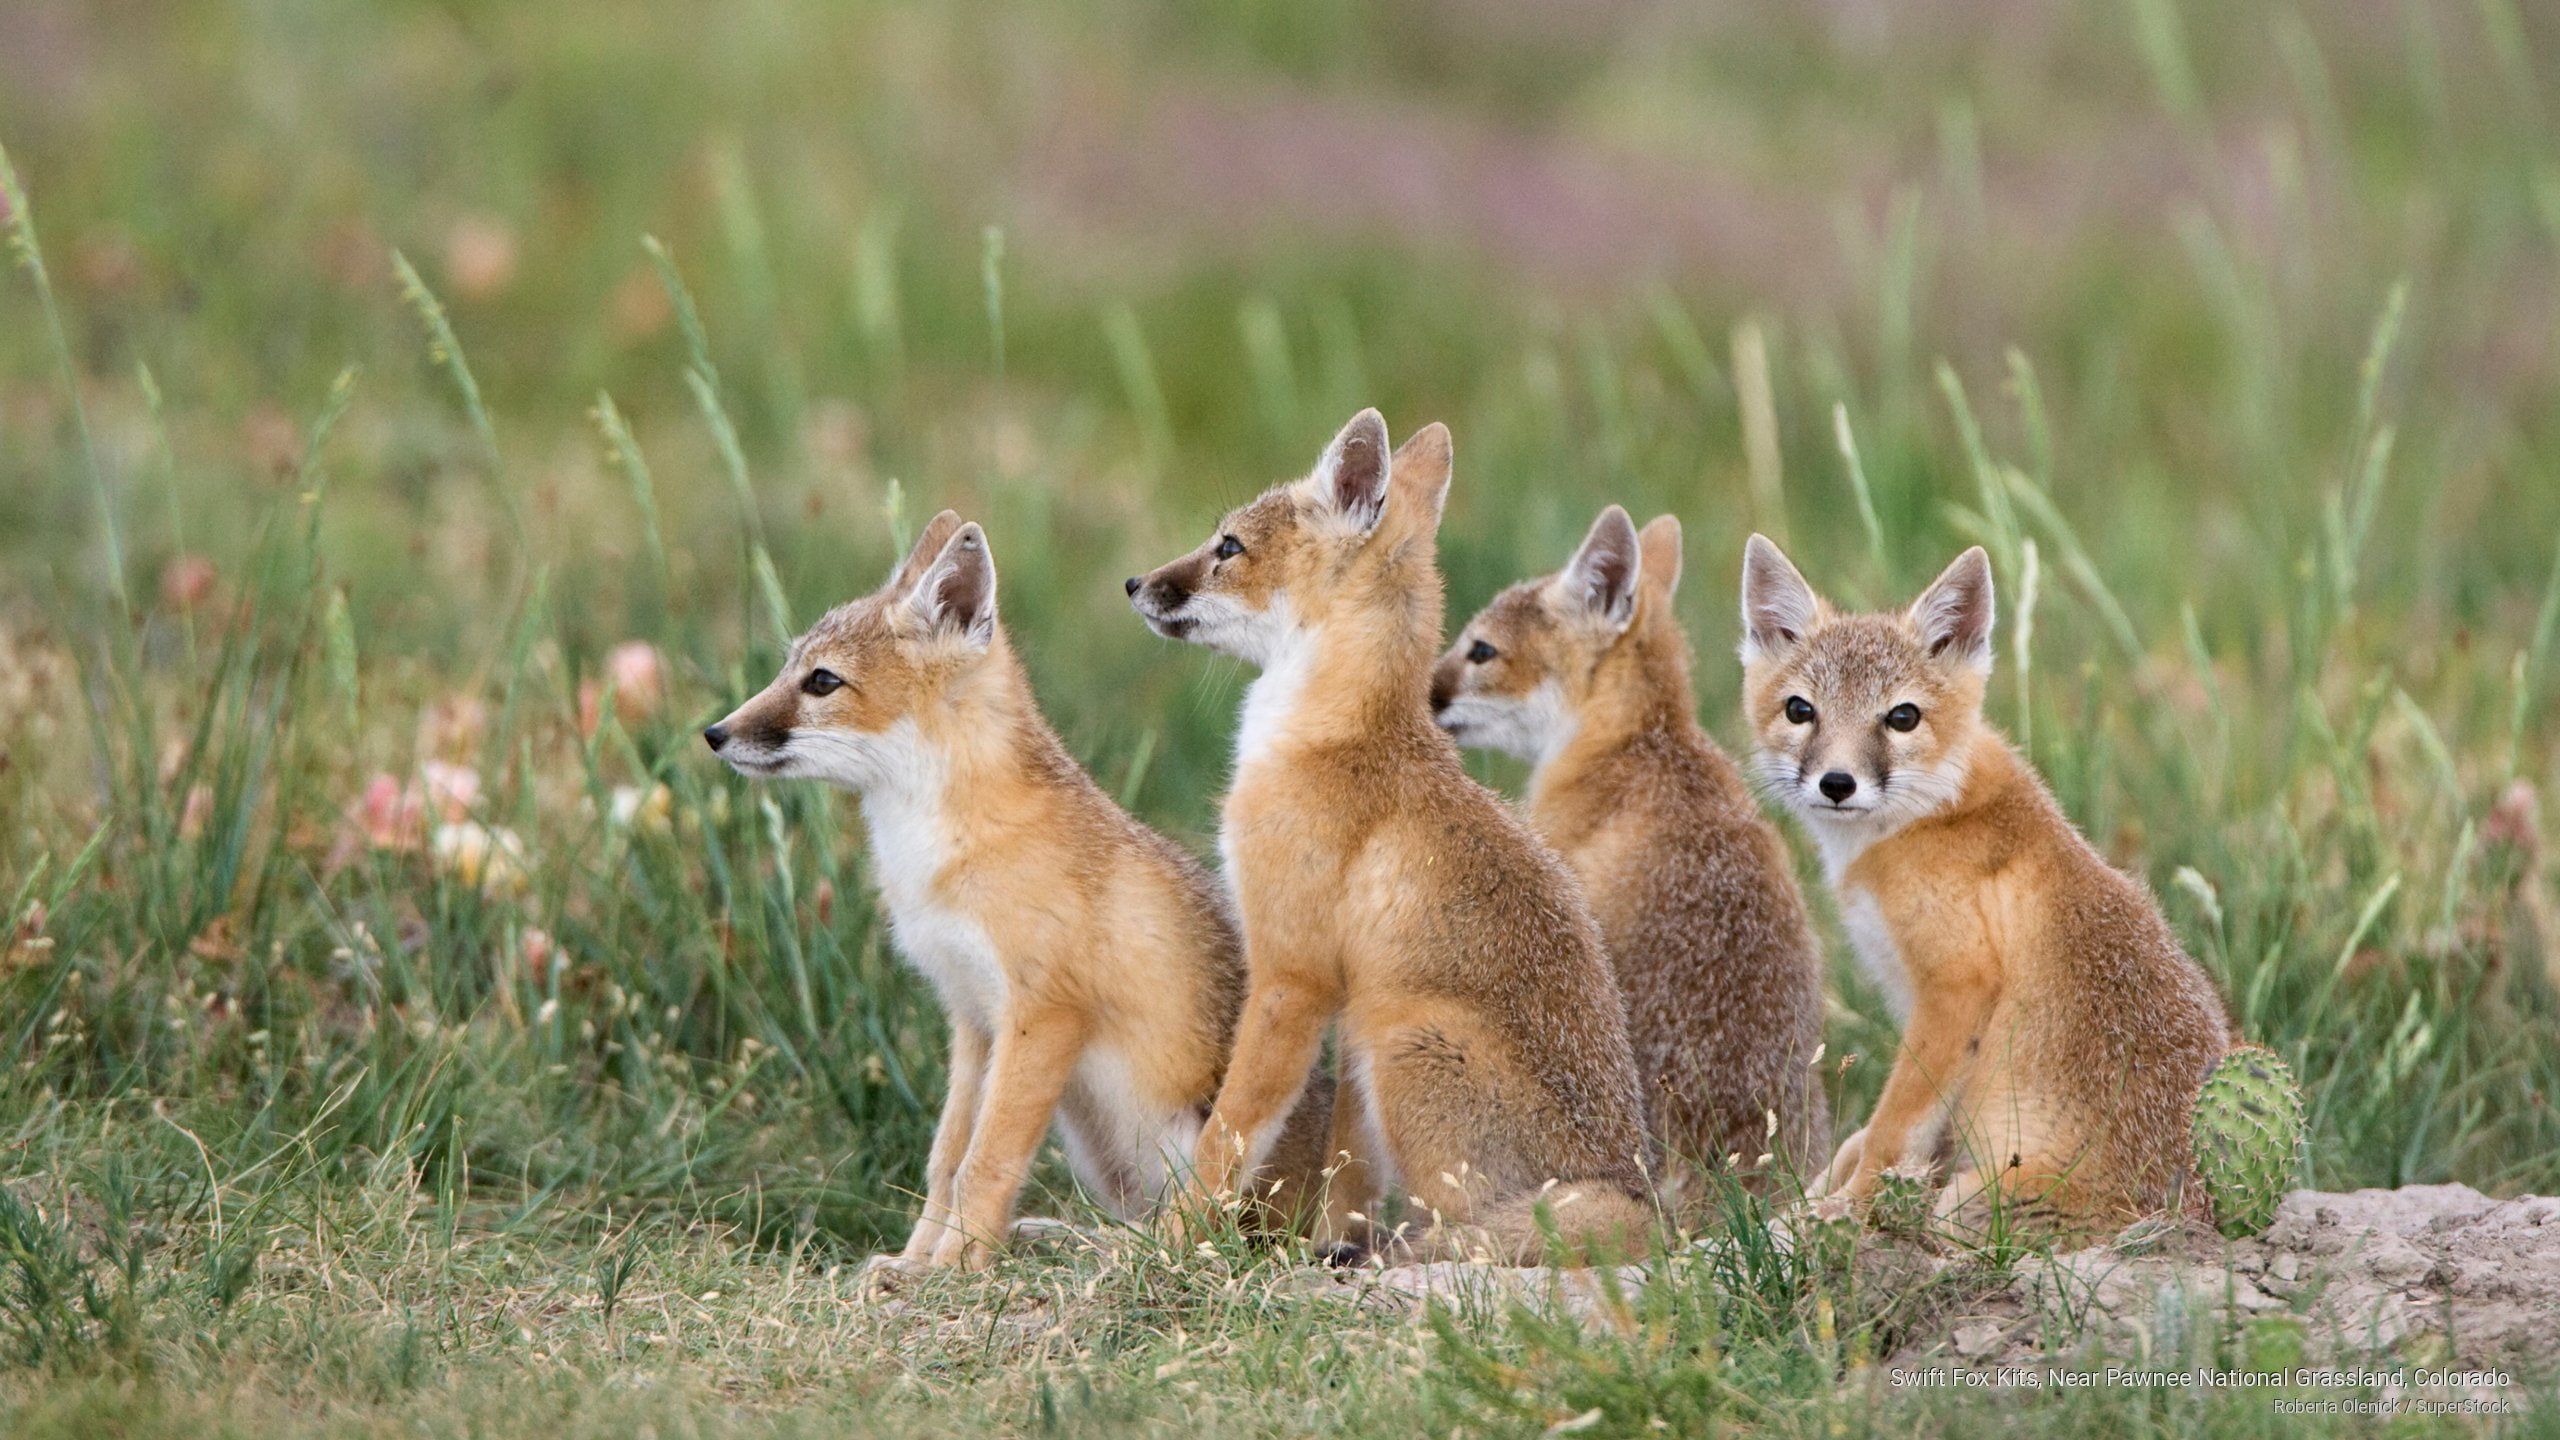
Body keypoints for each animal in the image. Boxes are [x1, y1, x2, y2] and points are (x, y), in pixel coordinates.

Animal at [705, 511, 1333, 1273]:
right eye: (785, 669)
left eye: (822, 681)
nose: (714, 733)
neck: (943, 852)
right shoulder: (972, 1017)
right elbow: (946, 1159)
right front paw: (917, 1262)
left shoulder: (1041, 1015)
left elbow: (986, 1160)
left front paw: (953, 1270)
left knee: (1189, 1234)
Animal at [1126, 410, 1656, 1265]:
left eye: (1228, 547)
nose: (1136, 583)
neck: (1329, 738)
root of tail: (1640, 1201)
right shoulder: (1342, 1005)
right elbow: (1345, 1164)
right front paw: (1324, 1244)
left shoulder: (1293, 980)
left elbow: (1229, 1135)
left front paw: (1169, 1242)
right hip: (1377, 1036)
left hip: (1404, 1036)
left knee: (1461, 1234)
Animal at [1736, 535, 2230, 1230]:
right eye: (1800, 711)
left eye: (1902, 717)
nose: (1837, 783)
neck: (1930, 812)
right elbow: (1868, 1139)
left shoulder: (1956, 986)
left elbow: (1890, 1129)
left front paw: (1843, 1209)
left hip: (1971, 1200)